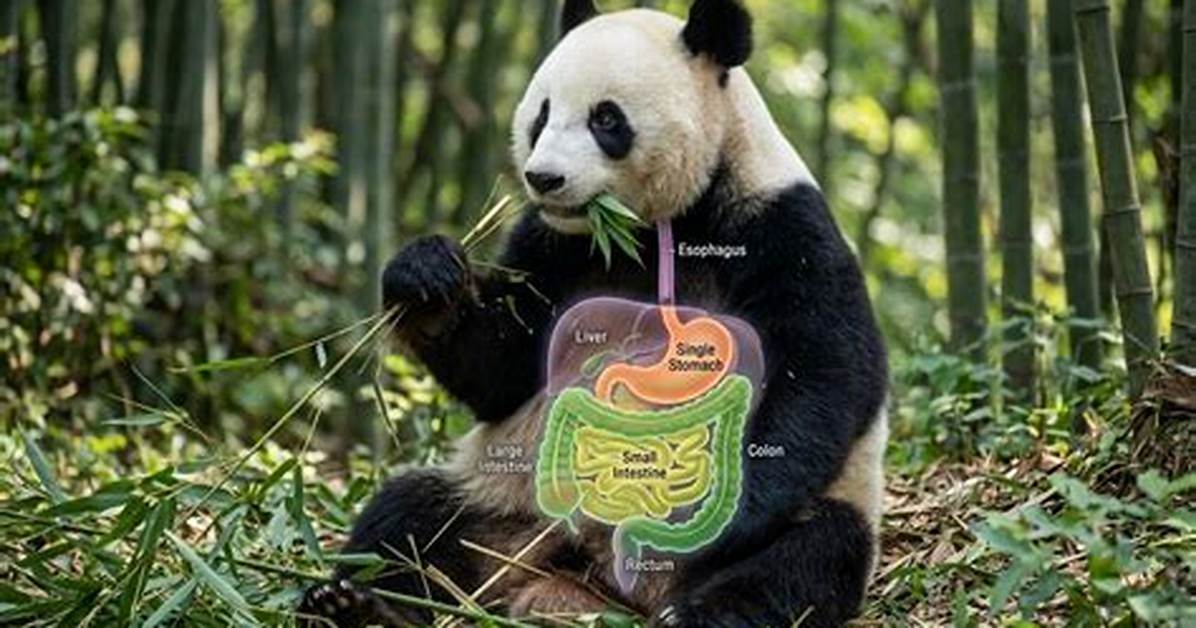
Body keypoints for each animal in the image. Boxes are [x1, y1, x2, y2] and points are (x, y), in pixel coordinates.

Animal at [300, 1, 888, 626]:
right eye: (542, 114)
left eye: (607, 119)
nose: (543, 178)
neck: (653, 226)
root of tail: (592, 577)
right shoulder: (554, 245)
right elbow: (501, 369)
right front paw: (428, 277)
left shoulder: (781, 227)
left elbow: (823, 375)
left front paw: (708, 509)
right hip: (502, 499)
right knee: (410, 519)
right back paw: (358, 603)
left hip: (822, 512)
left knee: (802, 559)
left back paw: (700, 609)